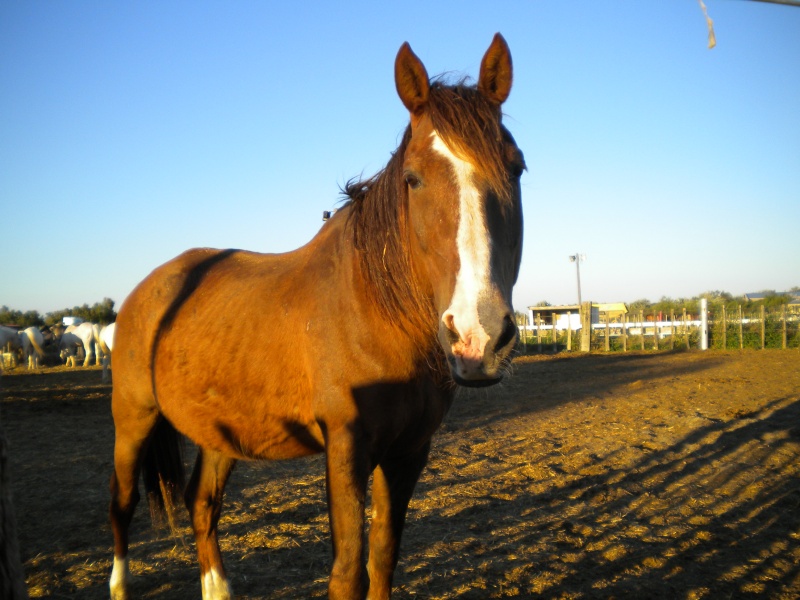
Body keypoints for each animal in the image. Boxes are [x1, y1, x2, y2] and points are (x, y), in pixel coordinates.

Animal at [111, 34, 524, 600]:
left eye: (517, 167)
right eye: (413, 179)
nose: (478, 335)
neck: (375, 312)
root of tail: (145, 291)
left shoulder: (408, 451)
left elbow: (383, 558)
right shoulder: (346, 448)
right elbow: (348, 570)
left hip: (220, 432)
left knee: (202, 505)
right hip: (132, 419)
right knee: (122, 507)